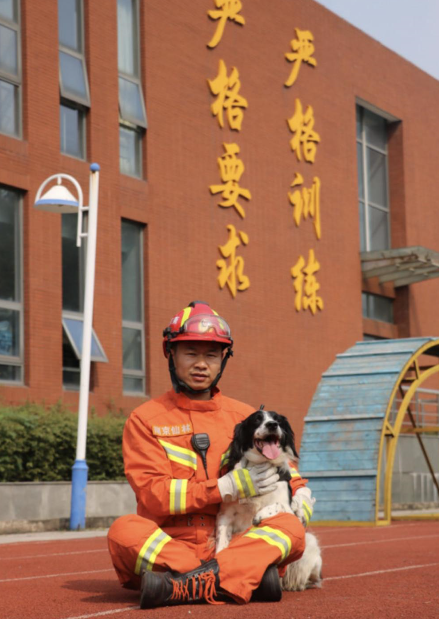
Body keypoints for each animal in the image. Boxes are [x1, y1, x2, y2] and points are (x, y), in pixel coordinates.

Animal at [217, 410, 324, 592]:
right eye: (256, 420)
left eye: (278, 420)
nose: (272, 425)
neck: (262, 464)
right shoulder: (226, 514)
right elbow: (221, 541)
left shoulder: (288, 508)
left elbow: (278, 505)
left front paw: (260, 514)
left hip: (310, 543)